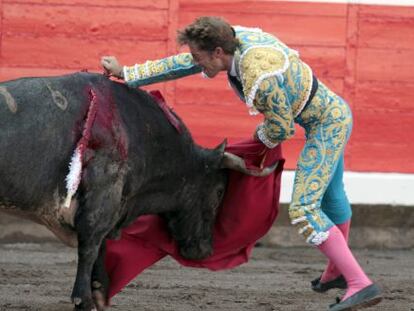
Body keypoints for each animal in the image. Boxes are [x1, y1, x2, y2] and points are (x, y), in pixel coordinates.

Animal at [0, 72, 278, 310]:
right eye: (219, 192)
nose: (205, 251)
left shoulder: (112, 204)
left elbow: (101, 246)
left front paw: (100, 291)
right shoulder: (104, 194)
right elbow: (90, 245)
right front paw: (84, 300)